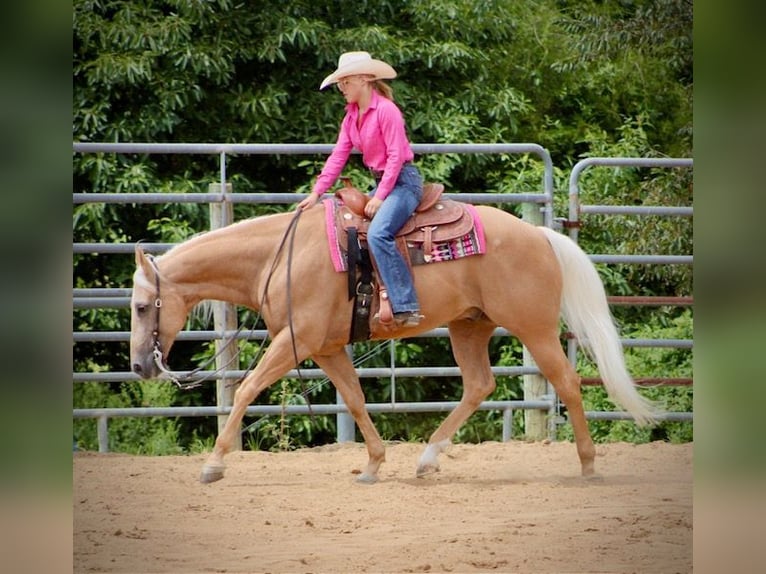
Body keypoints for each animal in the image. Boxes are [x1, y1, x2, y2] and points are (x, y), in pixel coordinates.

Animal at [129, 199, 658, 484]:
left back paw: (588, 466)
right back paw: (426, 459)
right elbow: (355, 400)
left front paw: (213, 466)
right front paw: (373, 465)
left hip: (536, 330)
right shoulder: (326, 348)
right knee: (479, 385)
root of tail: (541, 235)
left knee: (567, 383)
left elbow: (245, 390)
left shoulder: (294, 342)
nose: (139, 367)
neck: (280, 257)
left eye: (139, 307)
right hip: (470, 326)